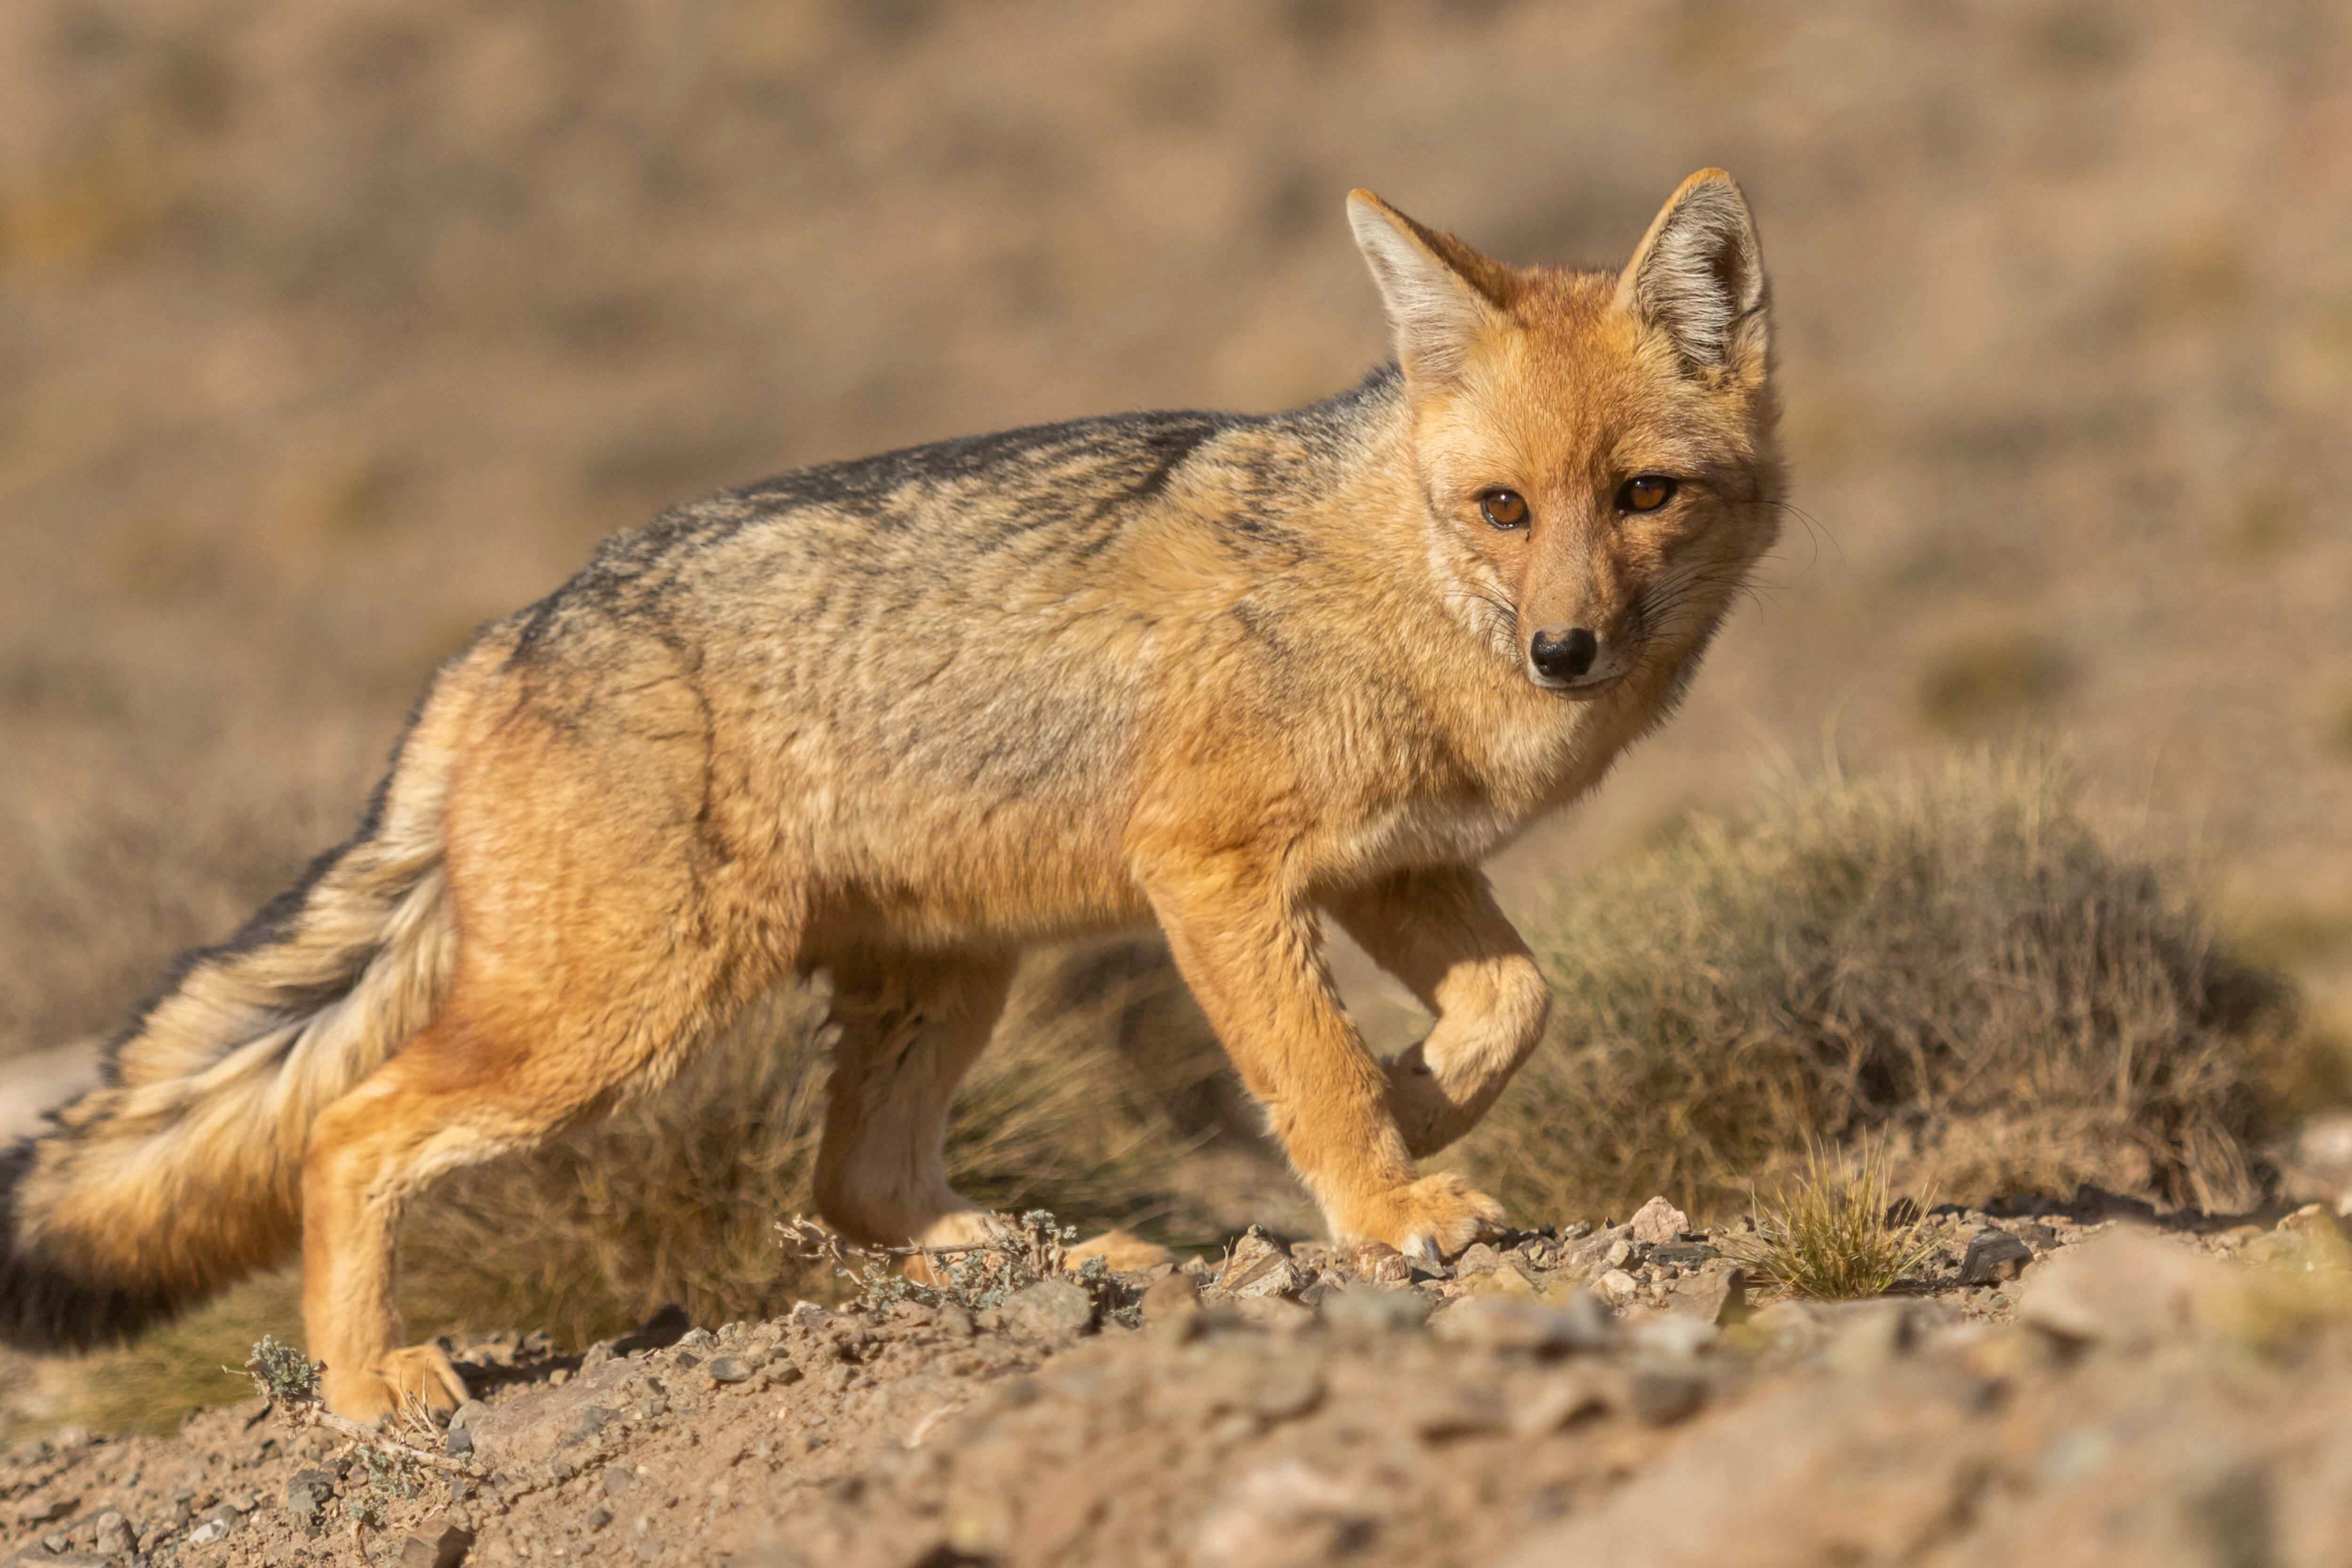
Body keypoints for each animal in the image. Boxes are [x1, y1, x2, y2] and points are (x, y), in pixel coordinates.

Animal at [0, 175, 1778, 1420]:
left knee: (846, 1183)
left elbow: (1510, 1005)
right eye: (1502, 507)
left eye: (1640, 495)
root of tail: (507, 634)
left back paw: (1029, 1251)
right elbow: (1318, 1065)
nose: (1564, 650)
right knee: (344, 1131)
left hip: (941, 977)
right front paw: (1389, 1201)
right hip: (619, 1014)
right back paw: (372, 1385)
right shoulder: (1215, 873)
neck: (1393, 579)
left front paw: (1421, 1111)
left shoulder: (1391, 865)